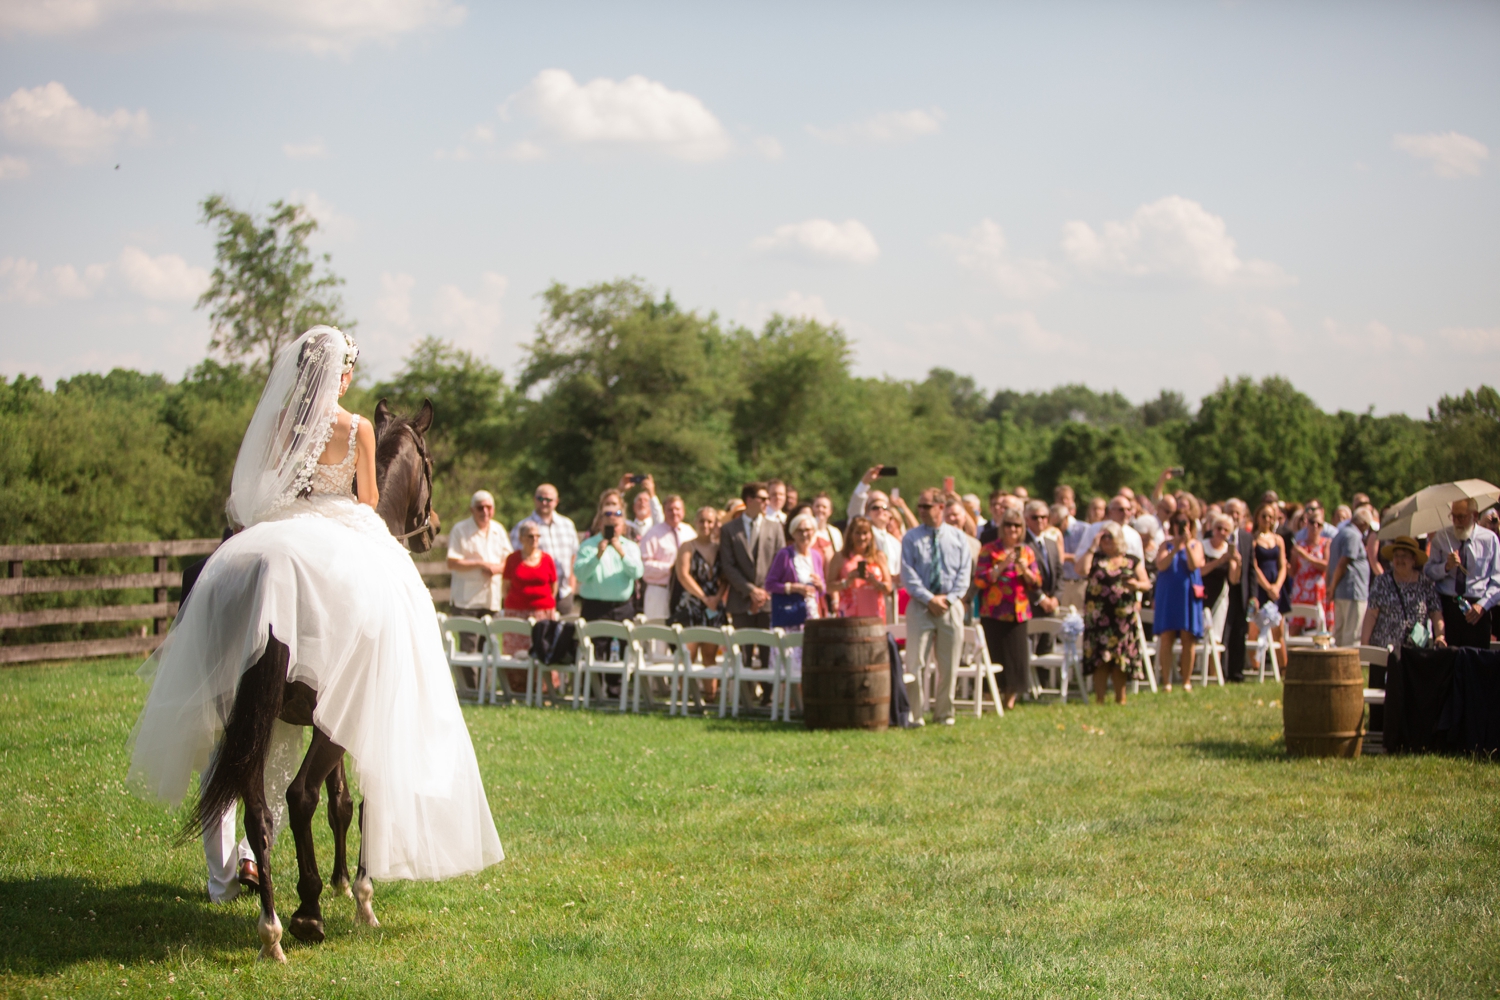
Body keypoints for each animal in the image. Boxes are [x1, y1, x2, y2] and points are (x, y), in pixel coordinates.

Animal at [187, 395, 438, 959]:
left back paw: (271, 928)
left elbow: (339, 802)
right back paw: (306, 912)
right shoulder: (350, 717)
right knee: (298, 794)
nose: (432, 526)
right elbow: (356, 801)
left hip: (245, 724)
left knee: (257, 812)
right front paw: (360, 893)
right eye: (431, 462)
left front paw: (343, 881)